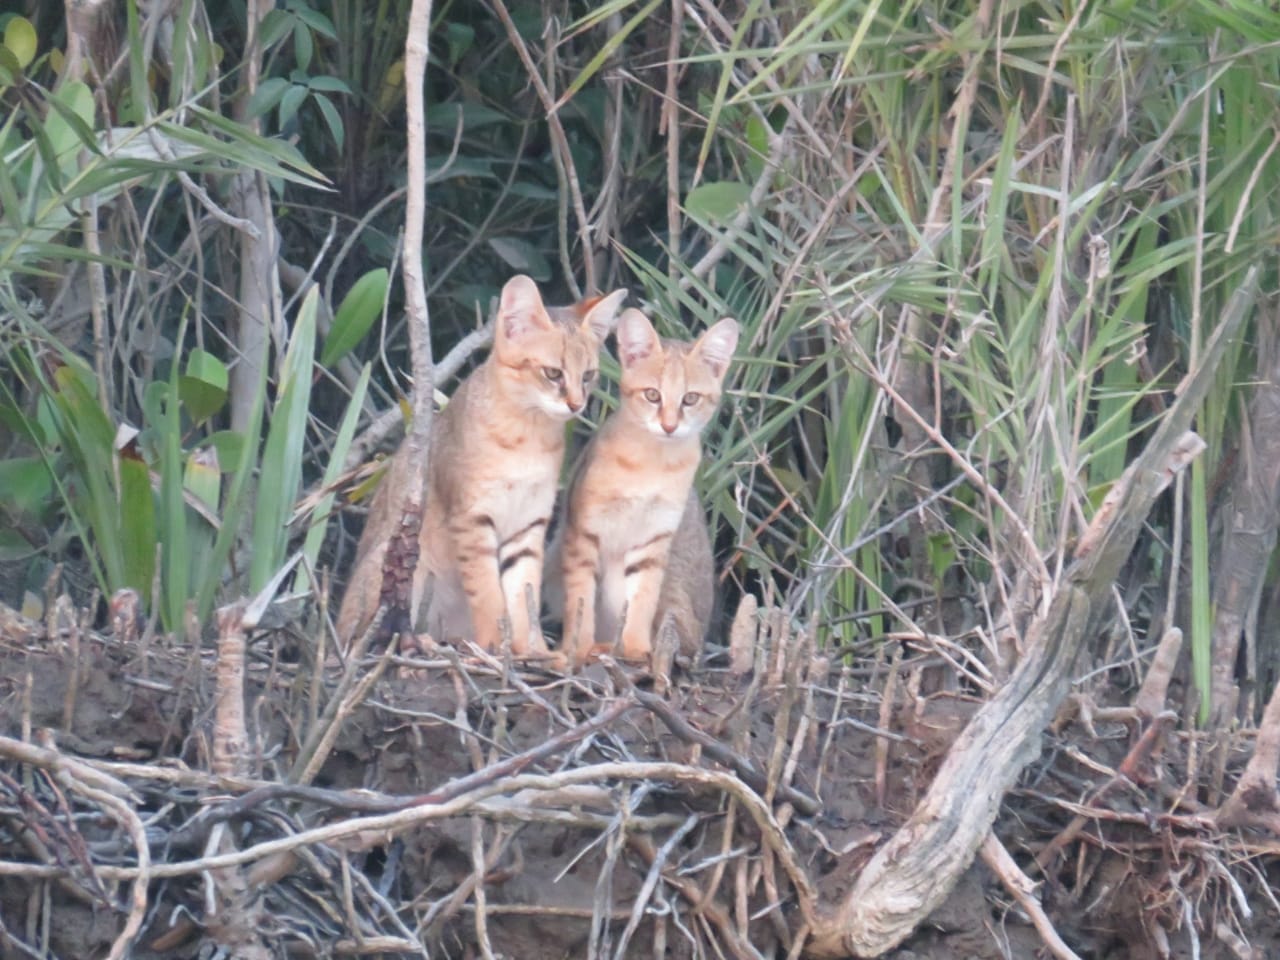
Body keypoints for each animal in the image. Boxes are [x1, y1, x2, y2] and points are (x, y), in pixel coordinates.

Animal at [337, 273, 622, 660]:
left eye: (589, 375)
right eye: (553, 373)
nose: (577, 405)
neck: (528, 440)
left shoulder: (527, 524)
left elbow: (523, 593)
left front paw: (531, 649)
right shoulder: (472, 519)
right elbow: (488, 593)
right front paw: (495, 645)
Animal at [550, 309, 742, 670]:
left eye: (690, 399)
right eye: (652, 395)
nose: (669, 426)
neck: (653, 465)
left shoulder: (654, 538)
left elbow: (641, 598)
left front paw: (636, 649)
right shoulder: (584, 531)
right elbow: (580, 596)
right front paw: (578, 648)